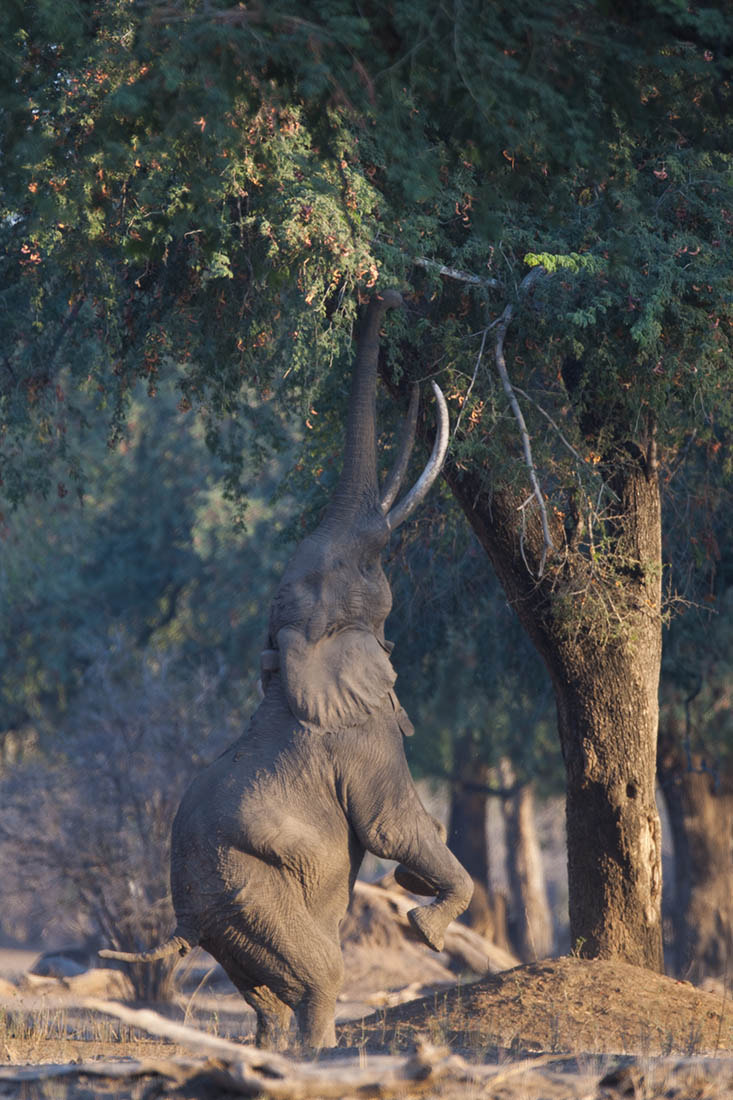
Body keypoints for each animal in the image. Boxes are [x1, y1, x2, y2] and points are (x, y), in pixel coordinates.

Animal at [100, 290, 471, 1047]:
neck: (291, 653)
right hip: (247, 889)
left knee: (264, 989)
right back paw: (320, 1053)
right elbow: (392, 825)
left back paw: (274, 1048)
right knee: (321, 973)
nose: (380, 296)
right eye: (366, 565)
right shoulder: (360, 737)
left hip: (228, 914)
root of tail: (185, 913)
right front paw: (427, 923)